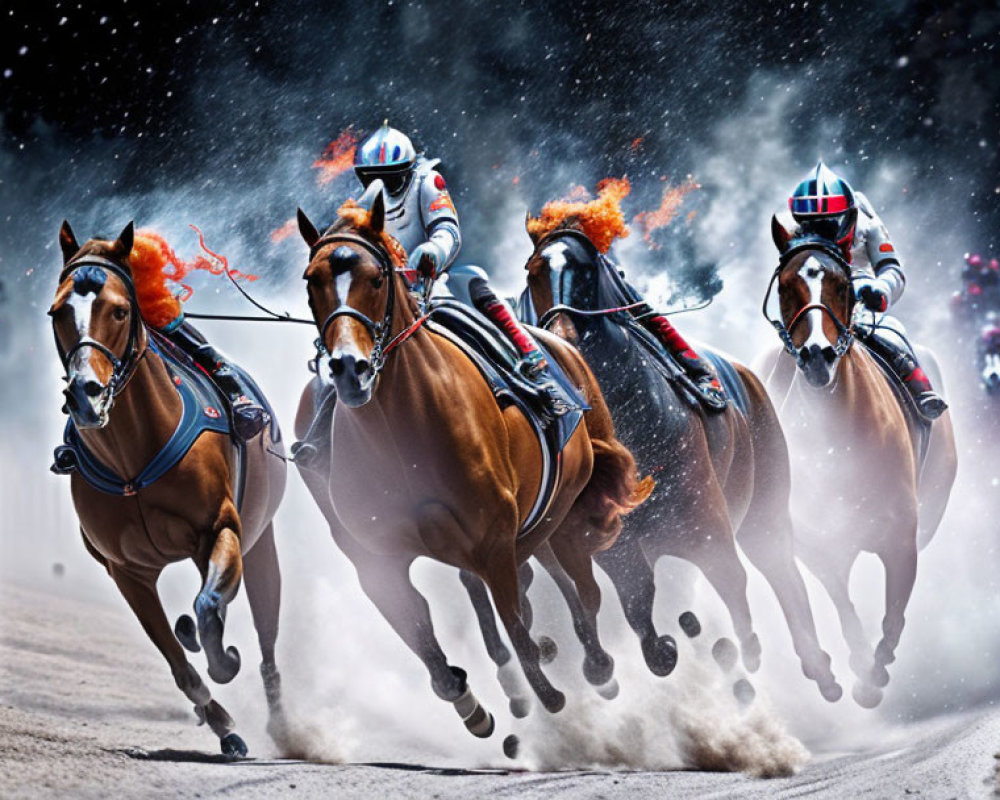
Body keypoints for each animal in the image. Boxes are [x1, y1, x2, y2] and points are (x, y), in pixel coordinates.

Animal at [48, 222, 288, 752]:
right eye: (57, 312)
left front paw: (224, 659)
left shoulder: (221, 530)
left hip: (261, 541)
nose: (85, 395)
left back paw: (287, 727)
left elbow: (209, 605)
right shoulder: (127, 570)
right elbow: (180, 664)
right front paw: (223, 725)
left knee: (266, 635)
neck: (133, 463)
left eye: (119, 309)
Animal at [292, 191, 648, 736]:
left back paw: (597, 665)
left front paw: (544, 689)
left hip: (567, 511)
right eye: (312, 280)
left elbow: (516, 623)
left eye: (376, 278)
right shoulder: (376, 559)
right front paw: (473, 705)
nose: (349, 369)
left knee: (581, 589)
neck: (401, 435)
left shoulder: (493, 539)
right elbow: (429, 648)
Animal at [516, 223, 844, 700]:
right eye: (534, 272)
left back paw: (820, 668)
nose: (563, 338)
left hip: (765, 513)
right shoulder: (611, 542)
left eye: (590, 267)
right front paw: (662, 649)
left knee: (783, 573)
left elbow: (733, 584)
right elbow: (638, 603)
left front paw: (744, 655)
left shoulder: (707, 524)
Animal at [752, 239, 956, 708]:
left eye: (842, 285)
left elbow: (894, 611)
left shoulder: (902, 535)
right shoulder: (817, 544)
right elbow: (843, 606)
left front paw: (873, 675)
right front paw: (859, 668)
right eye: (785, 285)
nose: (816, 356)